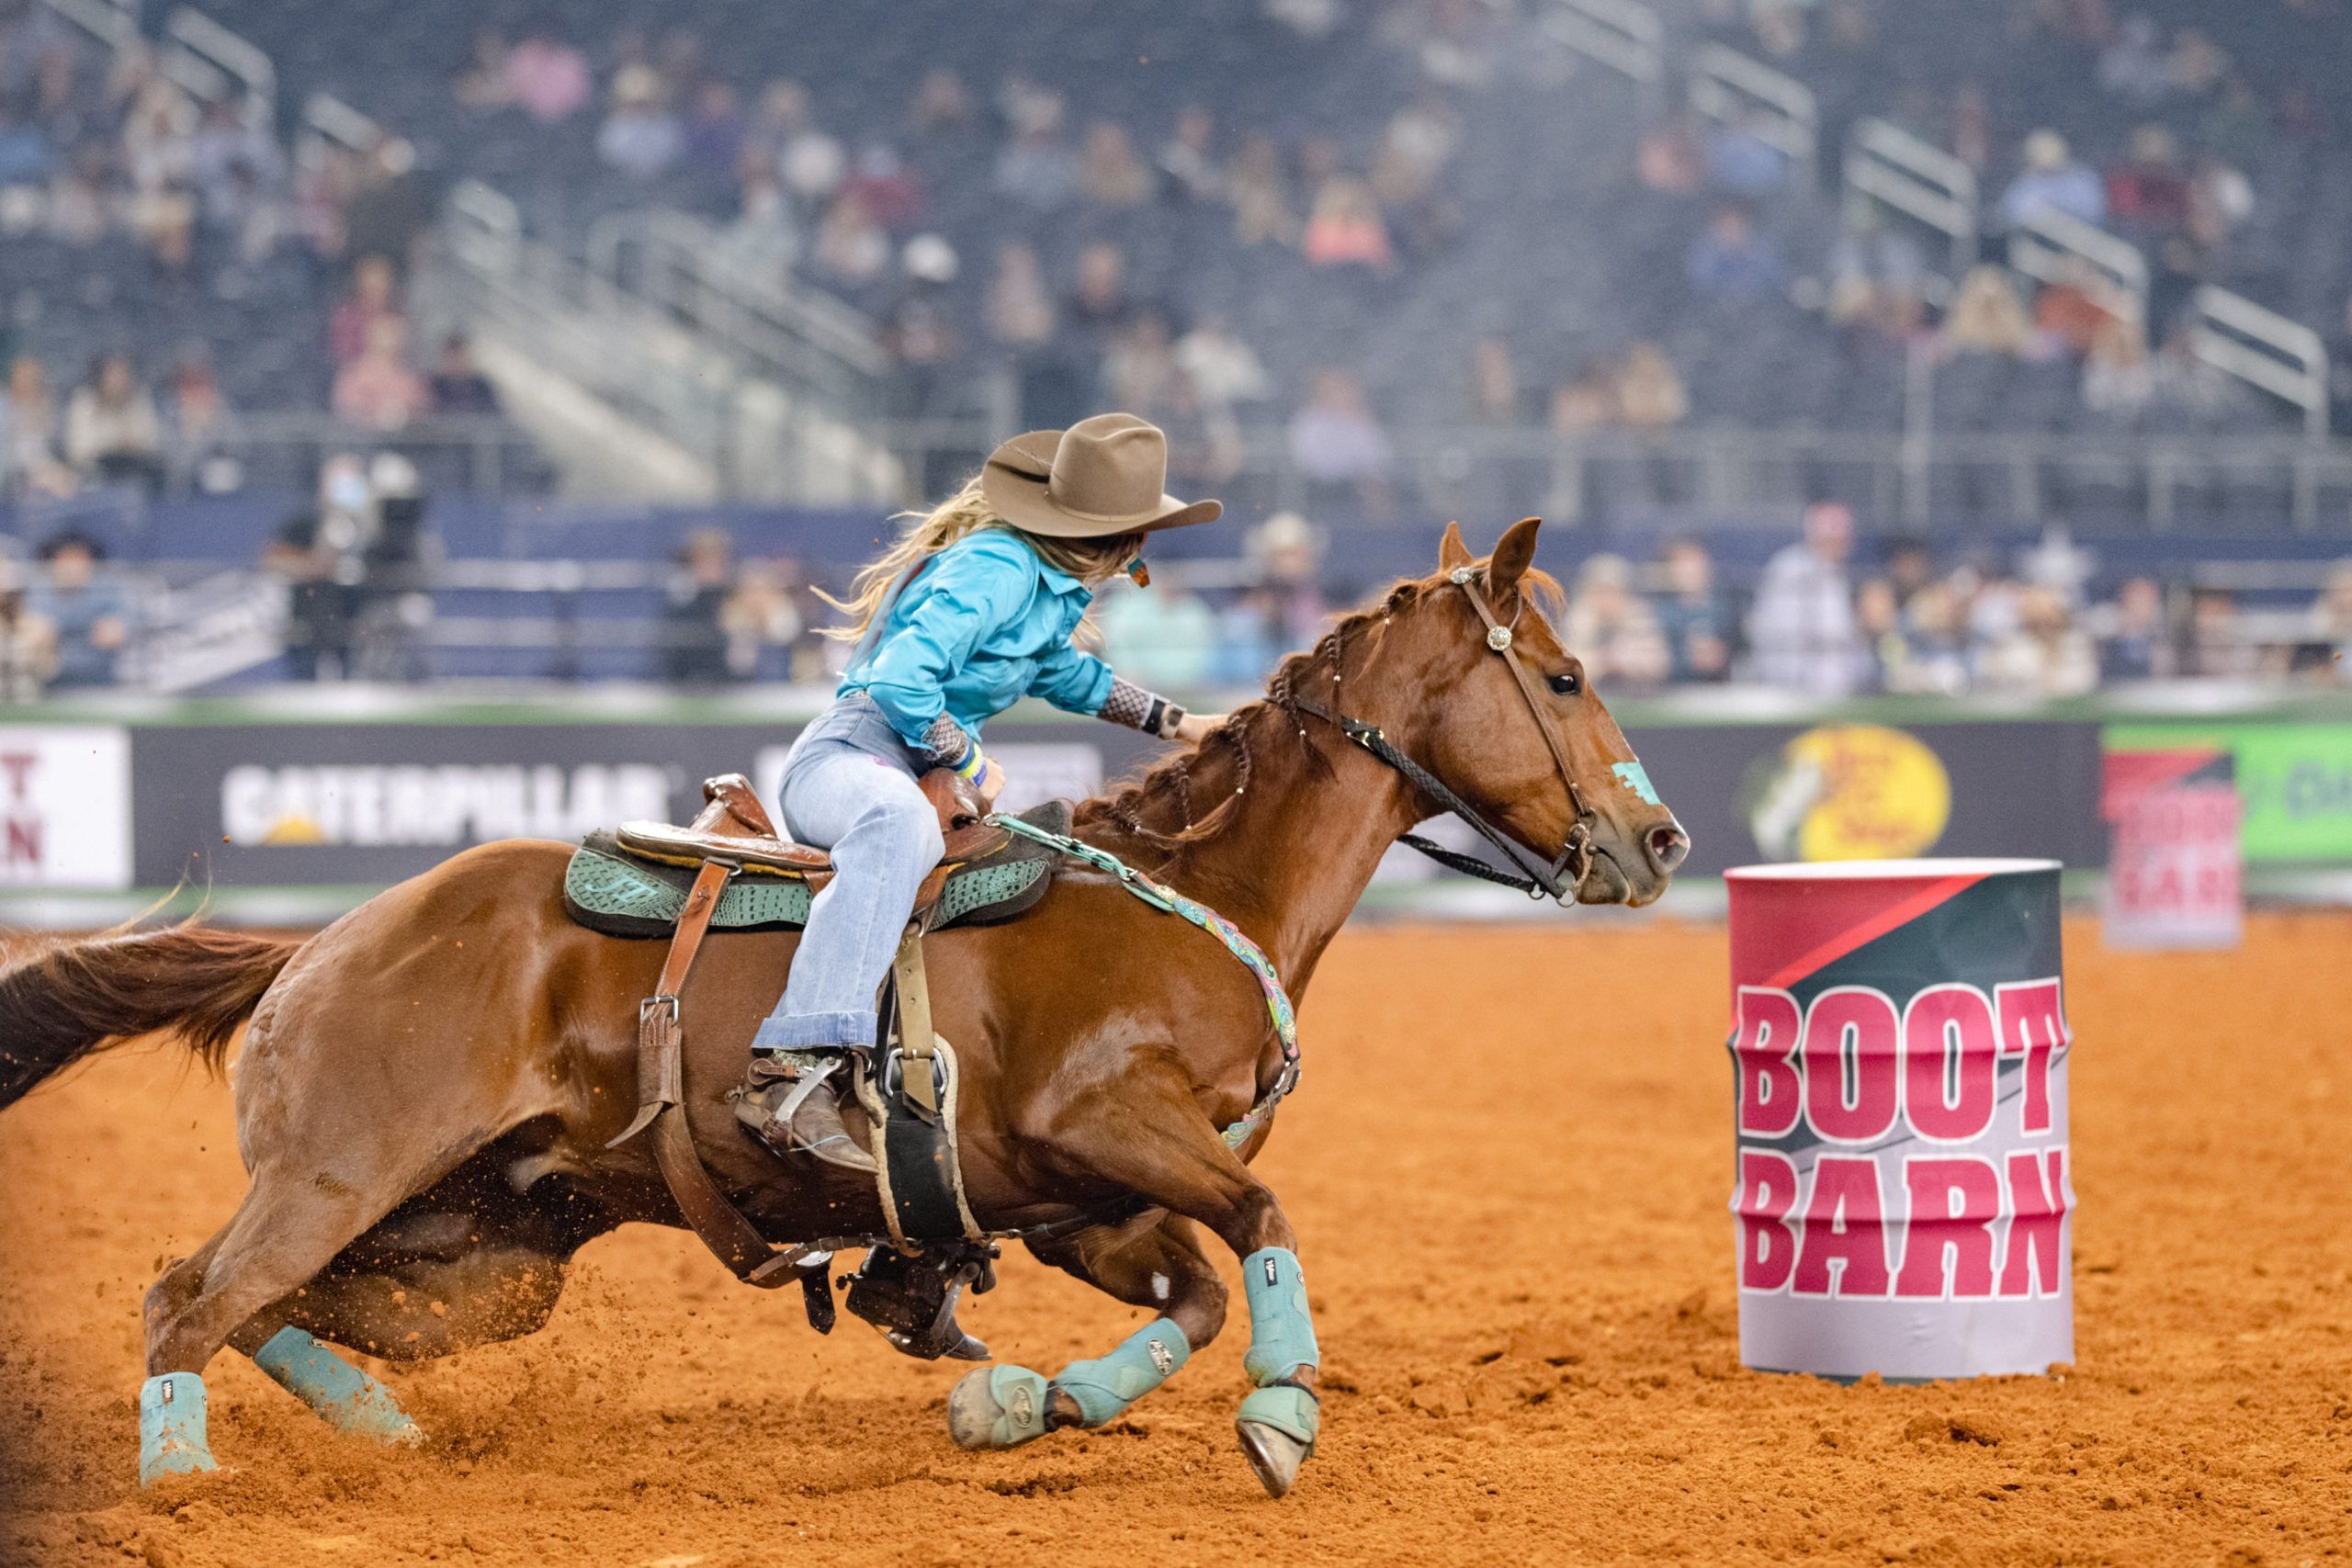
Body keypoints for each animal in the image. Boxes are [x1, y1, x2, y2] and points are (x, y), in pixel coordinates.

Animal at [0, 522, 1693, 1504]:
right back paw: (182, 1478)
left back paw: (375, 1426)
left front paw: (1026, 1400)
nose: (1662, 838)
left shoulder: (1077, 1200)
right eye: (1564, 672)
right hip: (344, 1172)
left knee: (255, 1304)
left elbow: (1195, 1294)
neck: (1188, 891)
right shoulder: (1107, 1121)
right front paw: (1283, 1413)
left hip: (485, 1239)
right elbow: (1264, 1219)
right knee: (187, 1294)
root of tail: (320, 944)